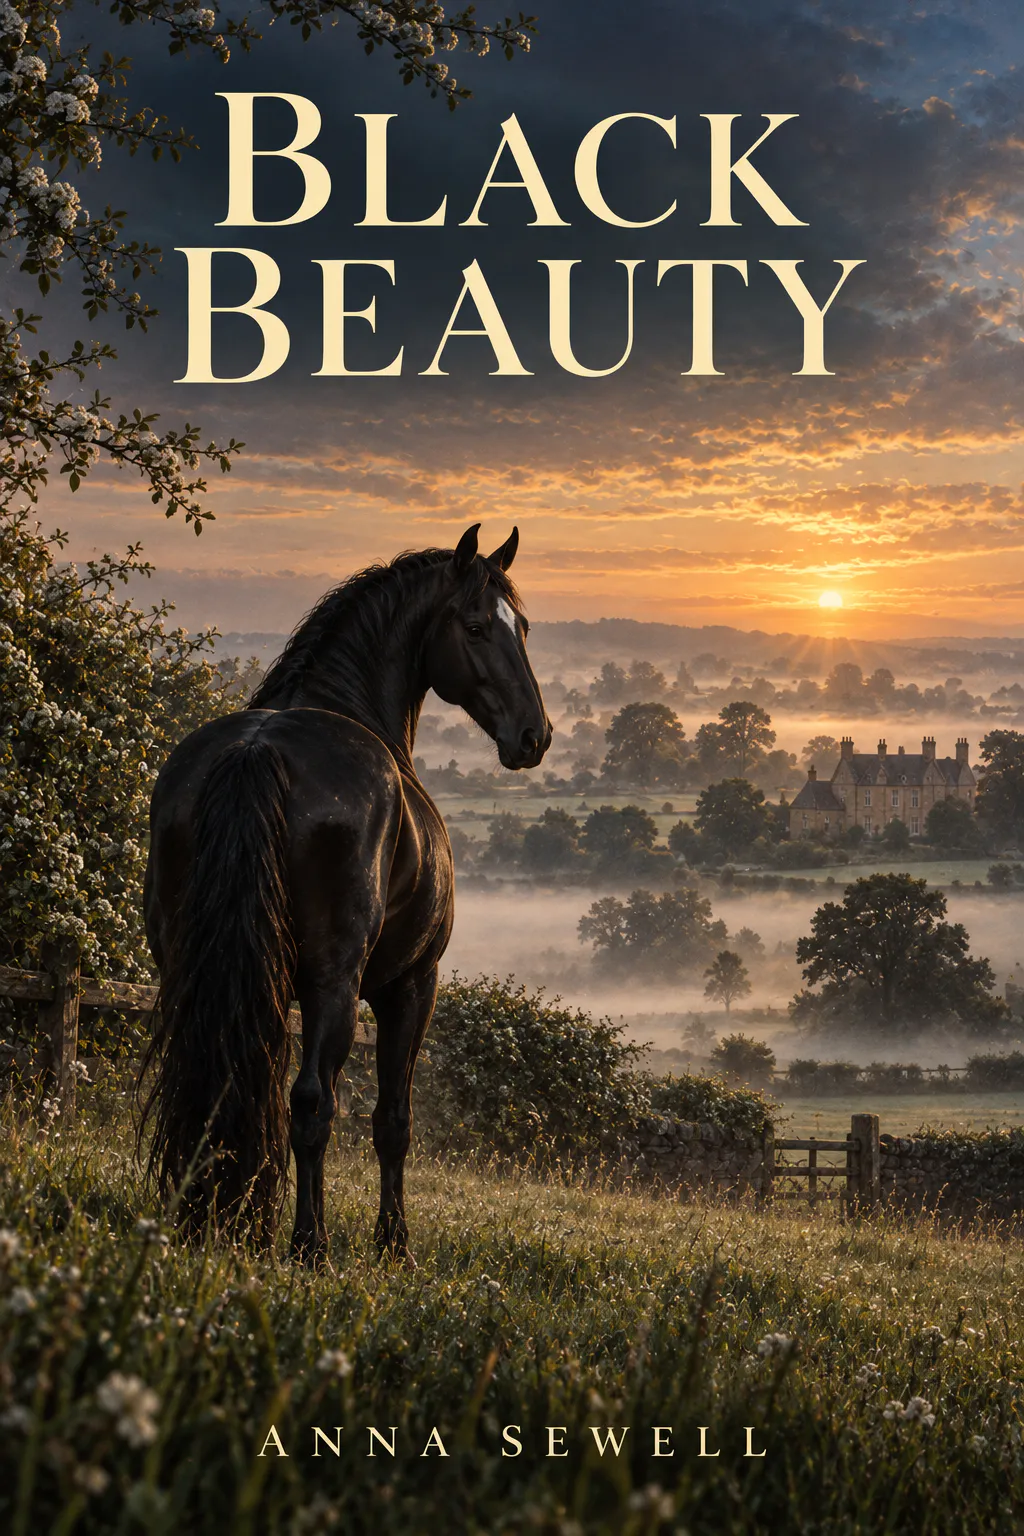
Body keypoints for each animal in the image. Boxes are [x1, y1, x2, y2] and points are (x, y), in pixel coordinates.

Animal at [140, 524, 550, 1264]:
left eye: (523, 627)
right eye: (476, 626)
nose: (533, 736)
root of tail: (256, 752)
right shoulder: (410, 984)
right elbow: (392, 1120)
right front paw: (394, 1244)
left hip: (186, 965)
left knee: (209, 1083)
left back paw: (205, 1221)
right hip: (337, 983)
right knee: (312, 1103)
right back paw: (310, 1245)